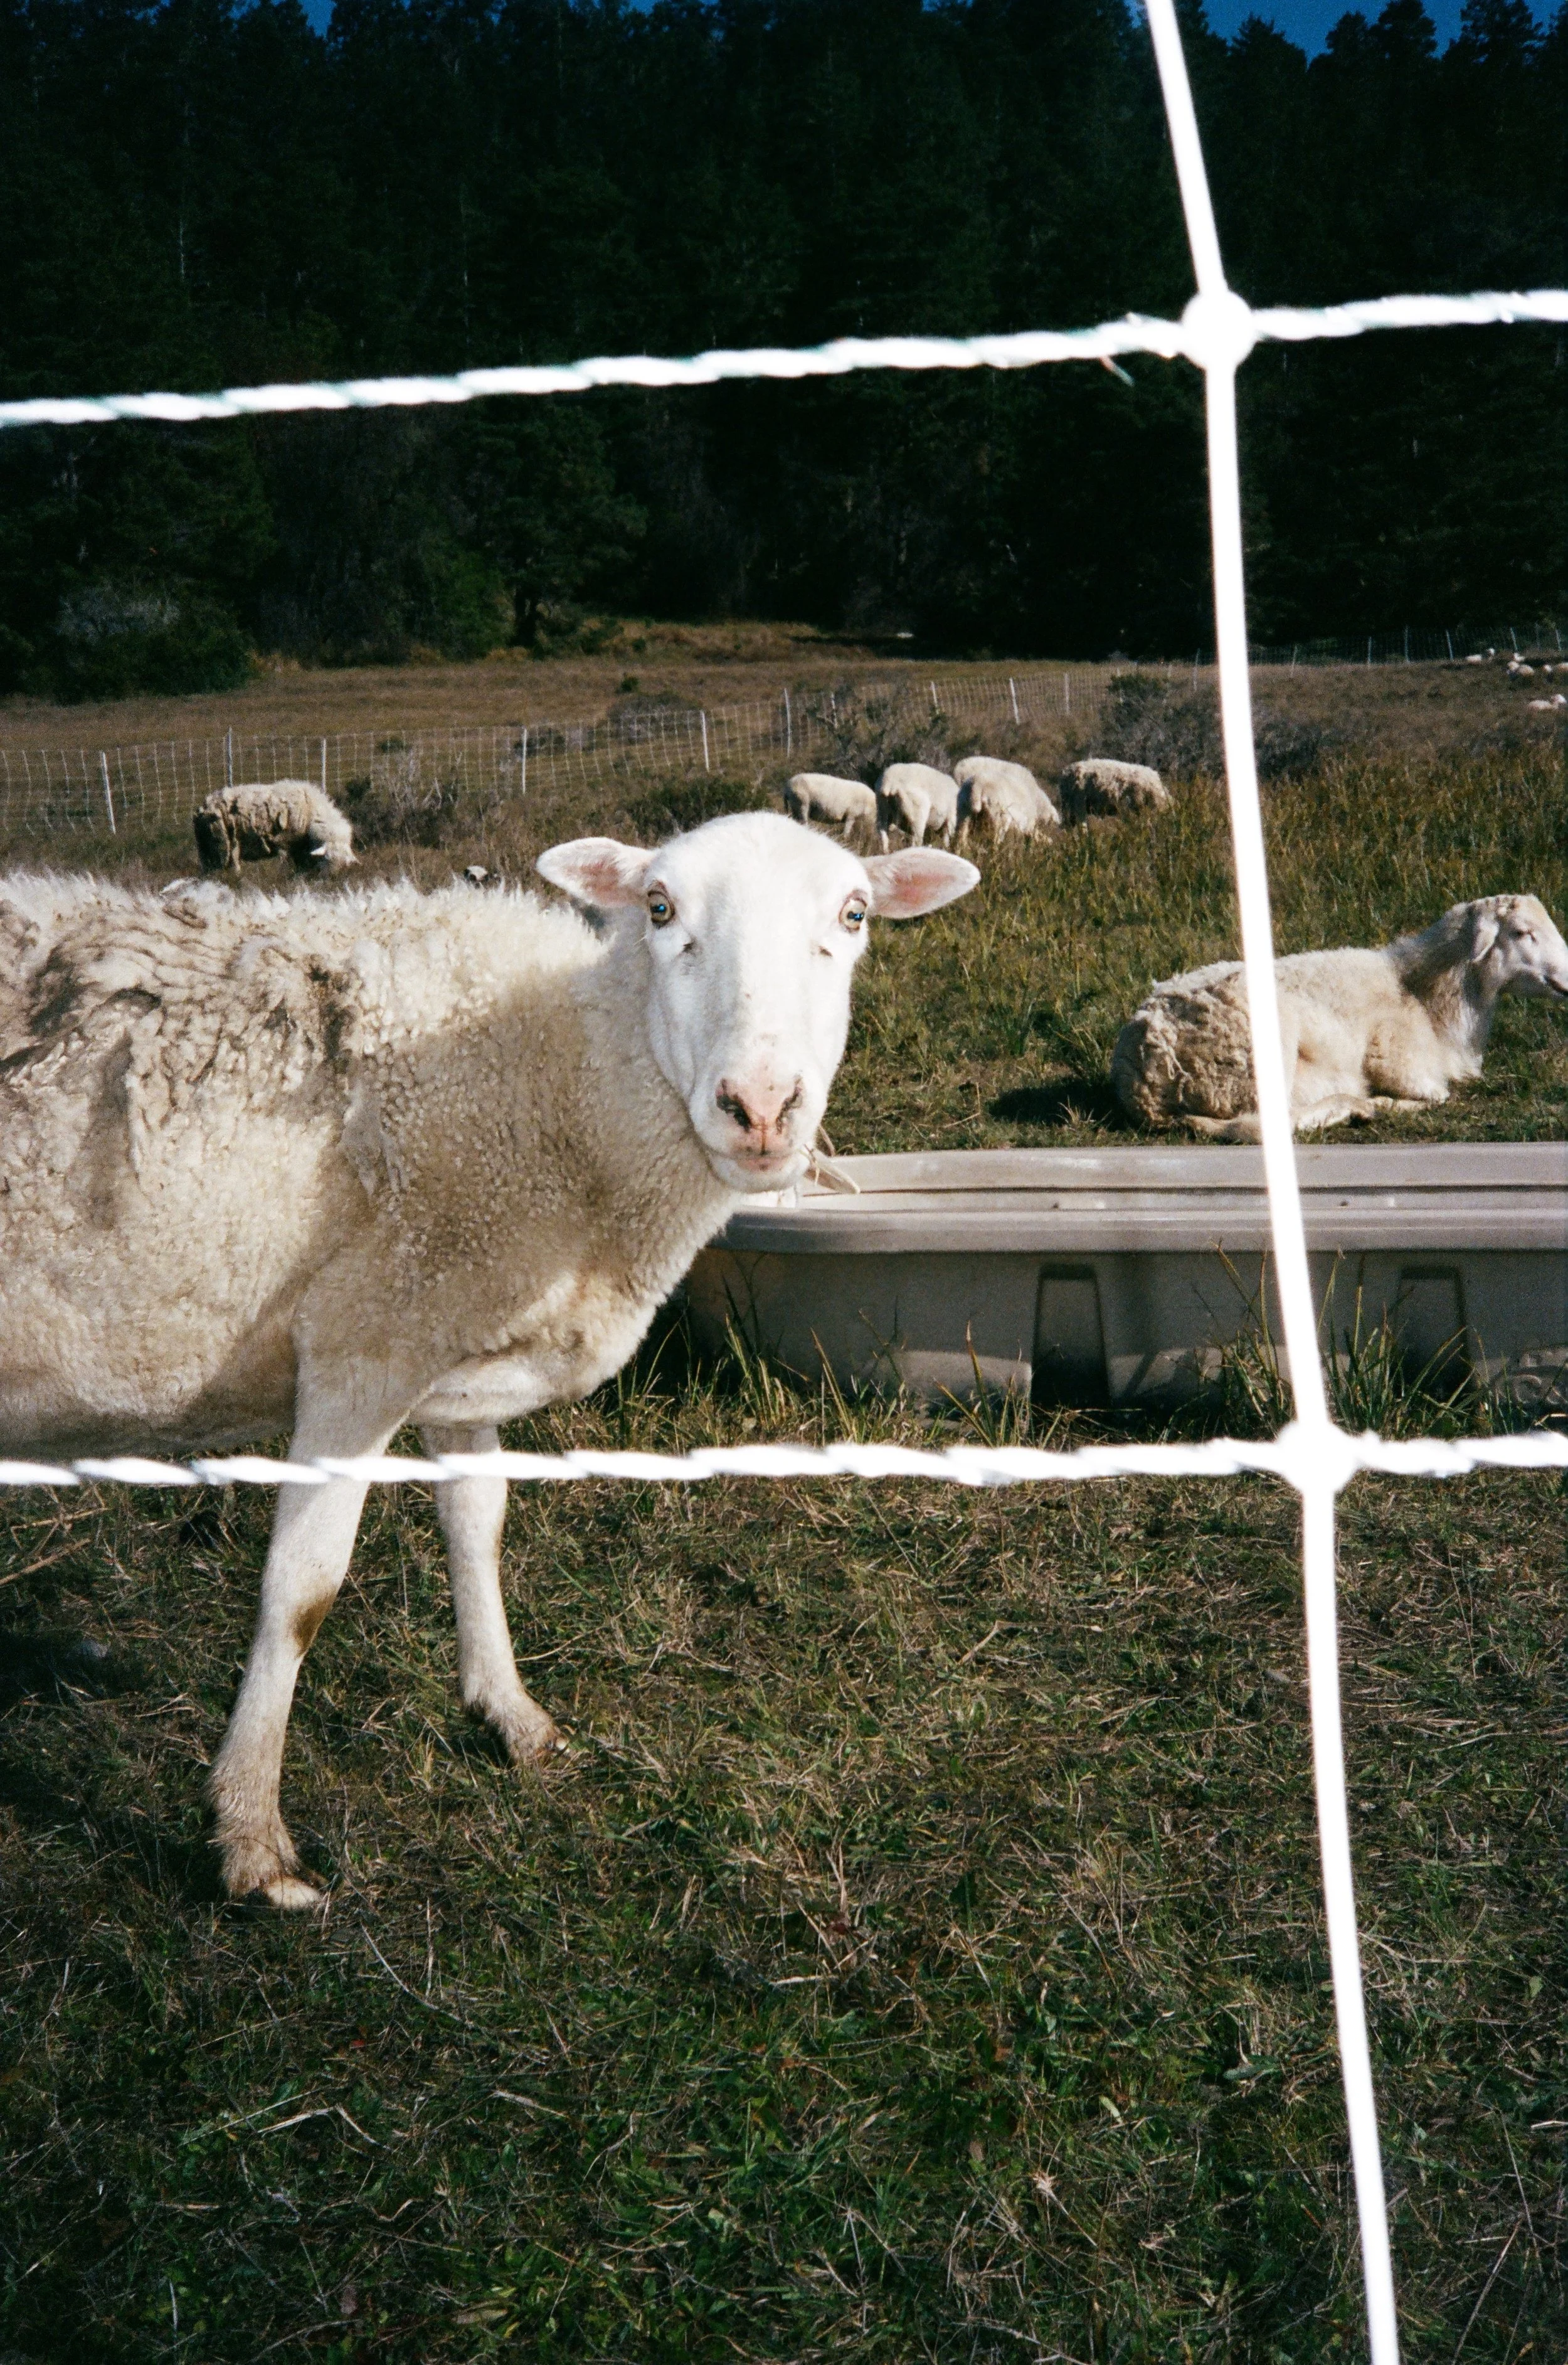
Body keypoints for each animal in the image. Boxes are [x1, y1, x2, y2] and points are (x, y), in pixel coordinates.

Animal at [0, 815, 978, 1909]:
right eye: (660, 907)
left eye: (853, 915)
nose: (760, 1105)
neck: (570, 1088)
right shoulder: (367, 1340)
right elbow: (303, 1590)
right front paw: (253, 1841)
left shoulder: (453, 1336)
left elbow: (479, 1522)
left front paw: (510, 1714)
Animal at [194, 781, 356, 876]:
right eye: (327, 859)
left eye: (346, 865)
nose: (332, 879)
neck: (311, 811)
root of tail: (203, 807)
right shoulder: (284, 842)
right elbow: (285, 863)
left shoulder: (299, 847)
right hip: (223, 842)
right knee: (230, 864)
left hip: (205, 846)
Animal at [782, 772, 878, 843]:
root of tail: (787, 787)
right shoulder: (851, 815)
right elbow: (846, 832)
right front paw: (845, 840)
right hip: (802, 803)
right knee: (804, 821)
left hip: (795, 806)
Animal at [876, 761, 960, 850]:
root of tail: (890, 783)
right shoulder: (952, 818)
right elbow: (948, 836)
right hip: (918, 810)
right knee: (917, 839)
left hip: (882, 808)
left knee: (883, 833)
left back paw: (886, 850)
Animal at [1112, 894, 1568, 1141]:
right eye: (1523, 933)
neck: (1423, 994)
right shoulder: (1401, 1063)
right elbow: (1437, 1095)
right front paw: (1382, 1103)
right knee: (1259, 1126)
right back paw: (1351, 1106)